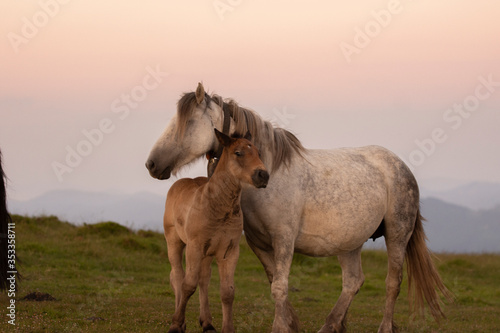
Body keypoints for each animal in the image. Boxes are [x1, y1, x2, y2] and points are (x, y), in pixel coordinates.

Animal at [146, 81, 454, 330]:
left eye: (187, 122)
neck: (271, 173)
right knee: (353, 282)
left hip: (397, 234)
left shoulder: (284, 240)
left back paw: (384, 328)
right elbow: (275, 283)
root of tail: (400, 165)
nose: (152, 163)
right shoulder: (259, 243)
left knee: (392, 283)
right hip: (350, 243)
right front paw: (291, 324)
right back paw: (330, 326)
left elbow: (280, 288)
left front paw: (280, 328)